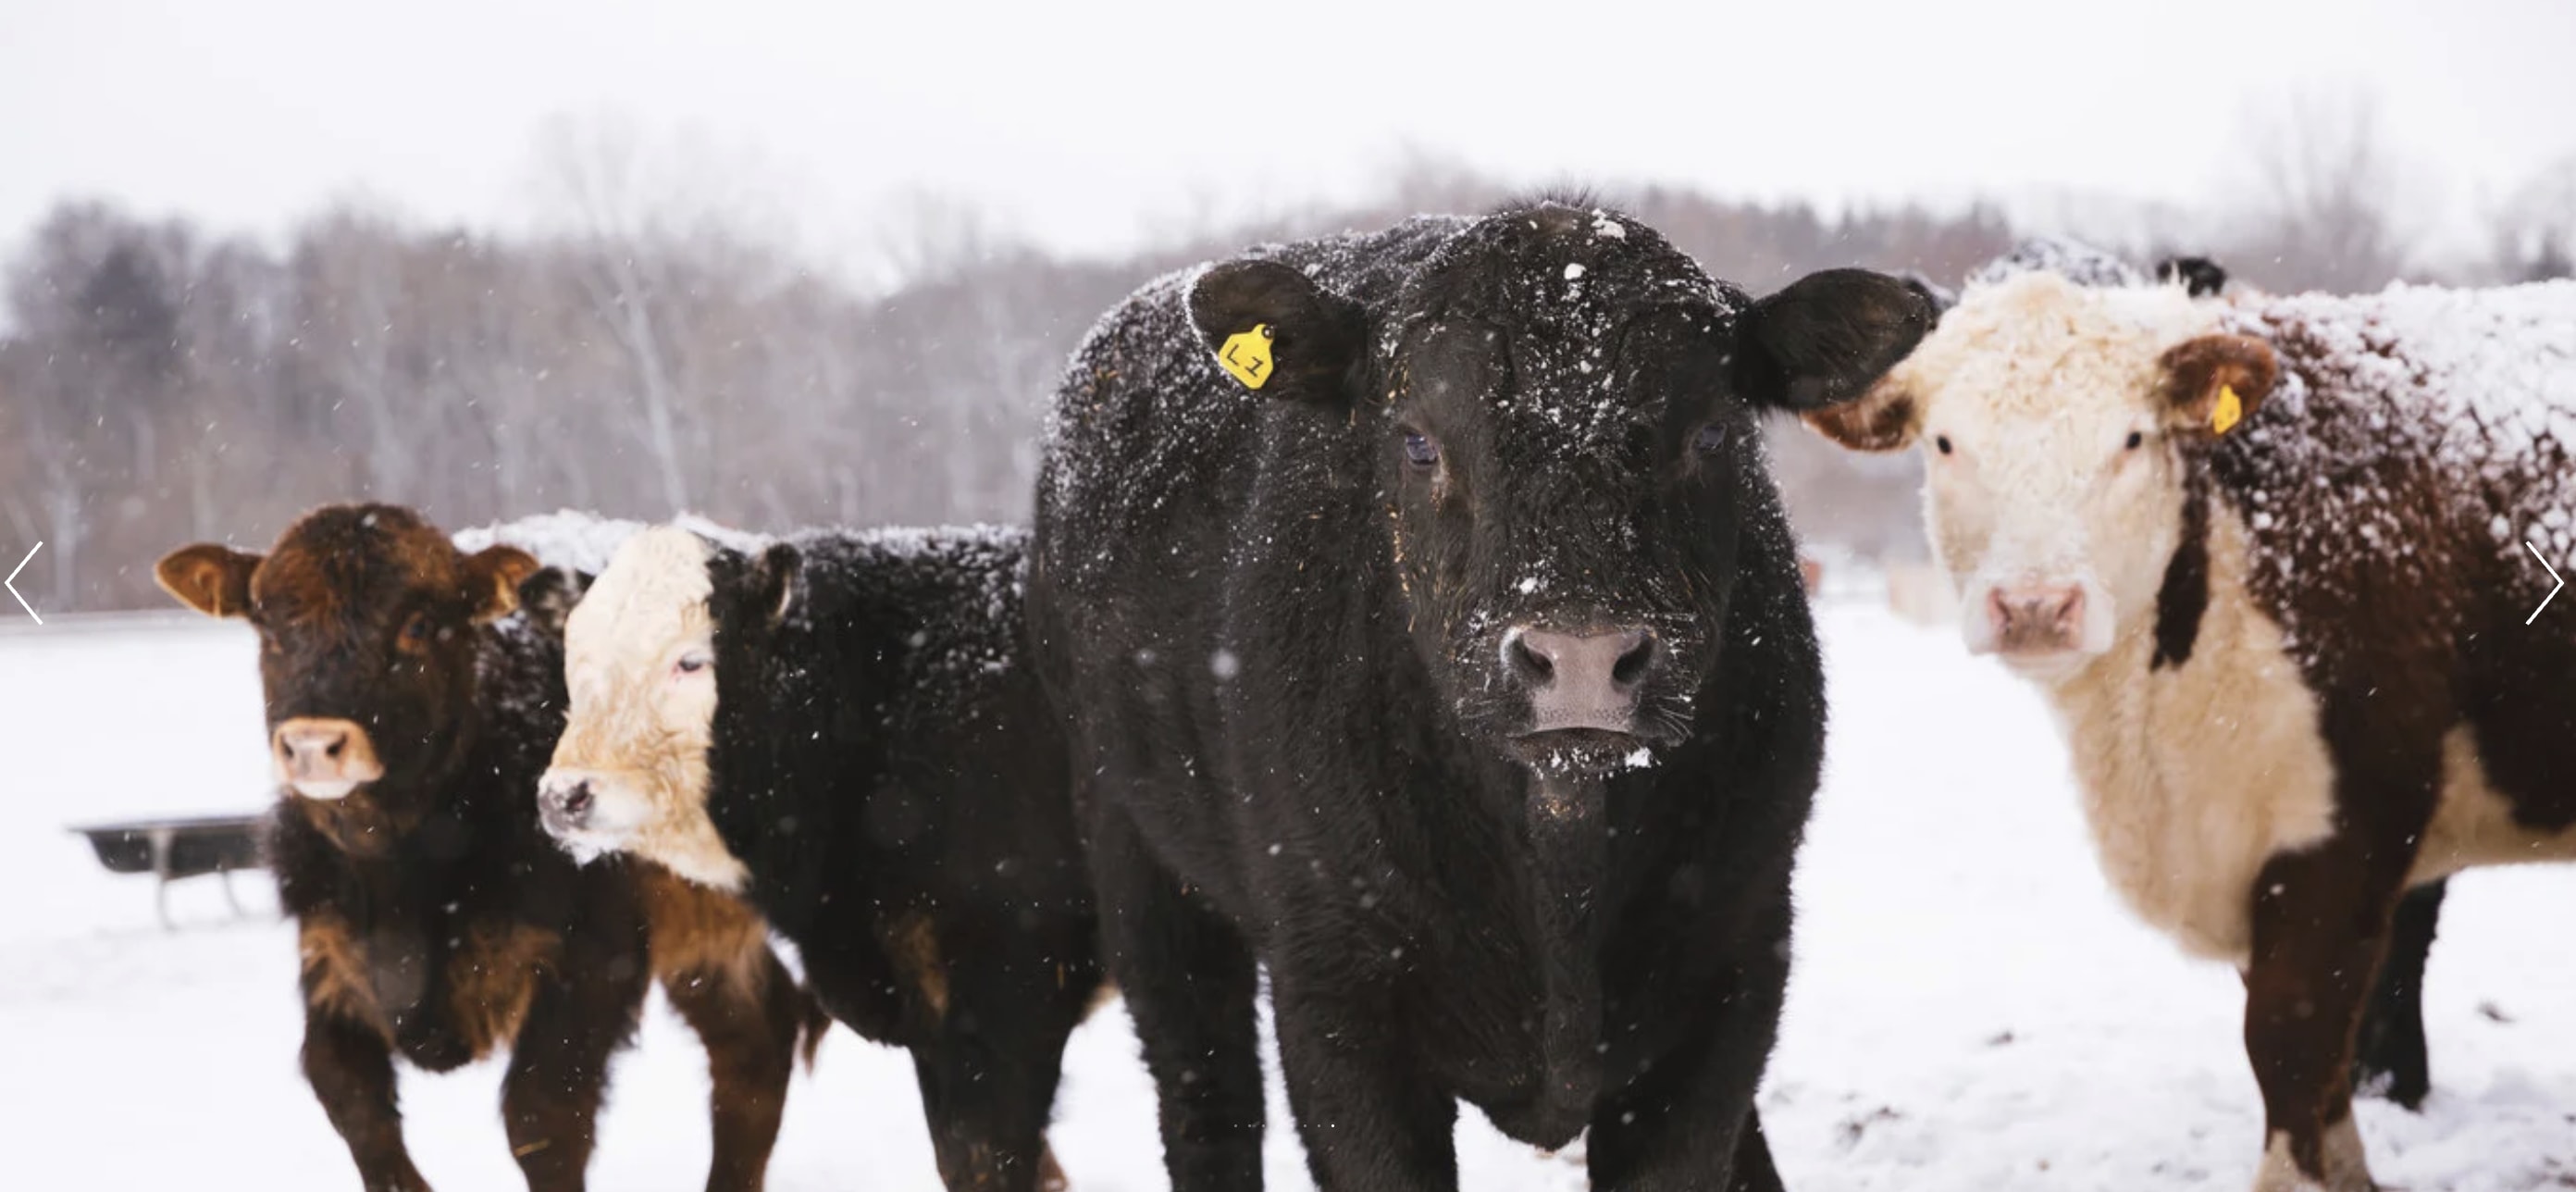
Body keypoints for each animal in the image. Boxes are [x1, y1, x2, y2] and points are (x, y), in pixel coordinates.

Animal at [155, 504, 820, 1192]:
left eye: (419, 624)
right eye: (268, 622)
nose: (314, 743)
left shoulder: (591, 959)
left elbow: (543, 1116)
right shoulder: (330, 956)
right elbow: (350, 1097)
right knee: (755, 1044)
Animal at [1028, 200, 1932, 1190]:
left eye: (1710, 434)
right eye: (1419, 441)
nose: (1582, 658)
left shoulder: (1735, 971)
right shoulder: (1335, 1000)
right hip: (1138, 867)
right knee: (1205, 1098)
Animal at [1803, 268, 2576, 1192]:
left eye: (2131, 438)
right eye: (1947, 443)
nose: (2035, 606)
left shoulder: (2343, 830)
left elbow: (2291, 1042)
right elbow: (2323, 1076)